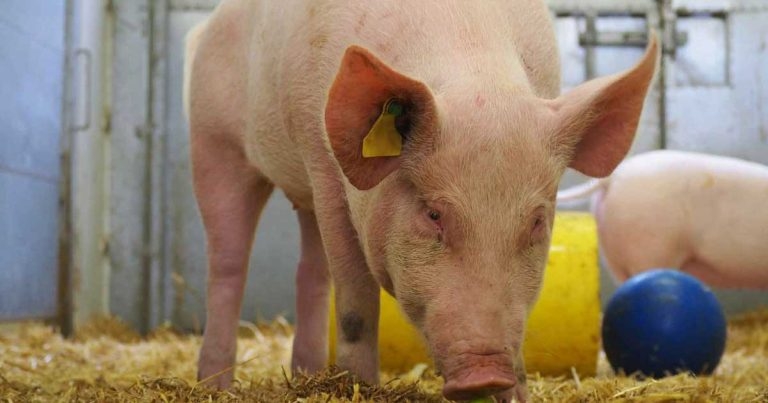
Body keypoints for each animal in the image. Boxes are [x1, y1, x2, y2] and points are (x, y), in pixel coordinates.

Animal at [184, 0, 658, 400]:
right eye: (433, 214)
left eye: (537, 221)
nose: (486, 373)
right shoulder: (324, 165)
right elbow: (355, 300)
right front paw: (359, 387)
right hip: (213, 140)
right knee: (227, 264)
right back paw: (214, 385)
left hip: (297, 192)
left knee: (311, 274)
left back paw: (306, 376)